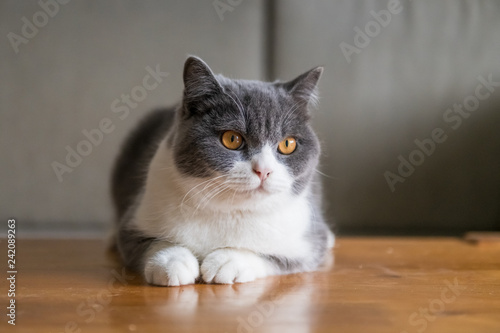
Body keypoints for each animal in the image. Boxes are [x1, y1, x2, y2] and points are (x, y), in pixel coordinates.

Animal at [111, 57, 334, 286]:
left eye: (288, 144)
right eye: (232, 139)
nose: (263, 170)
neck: (230, 211)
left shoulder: (307, 244)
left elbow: (271, 256)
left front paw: (228, 261)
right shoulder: (134, 221)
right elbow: (151, 243)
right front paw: (173, 262)